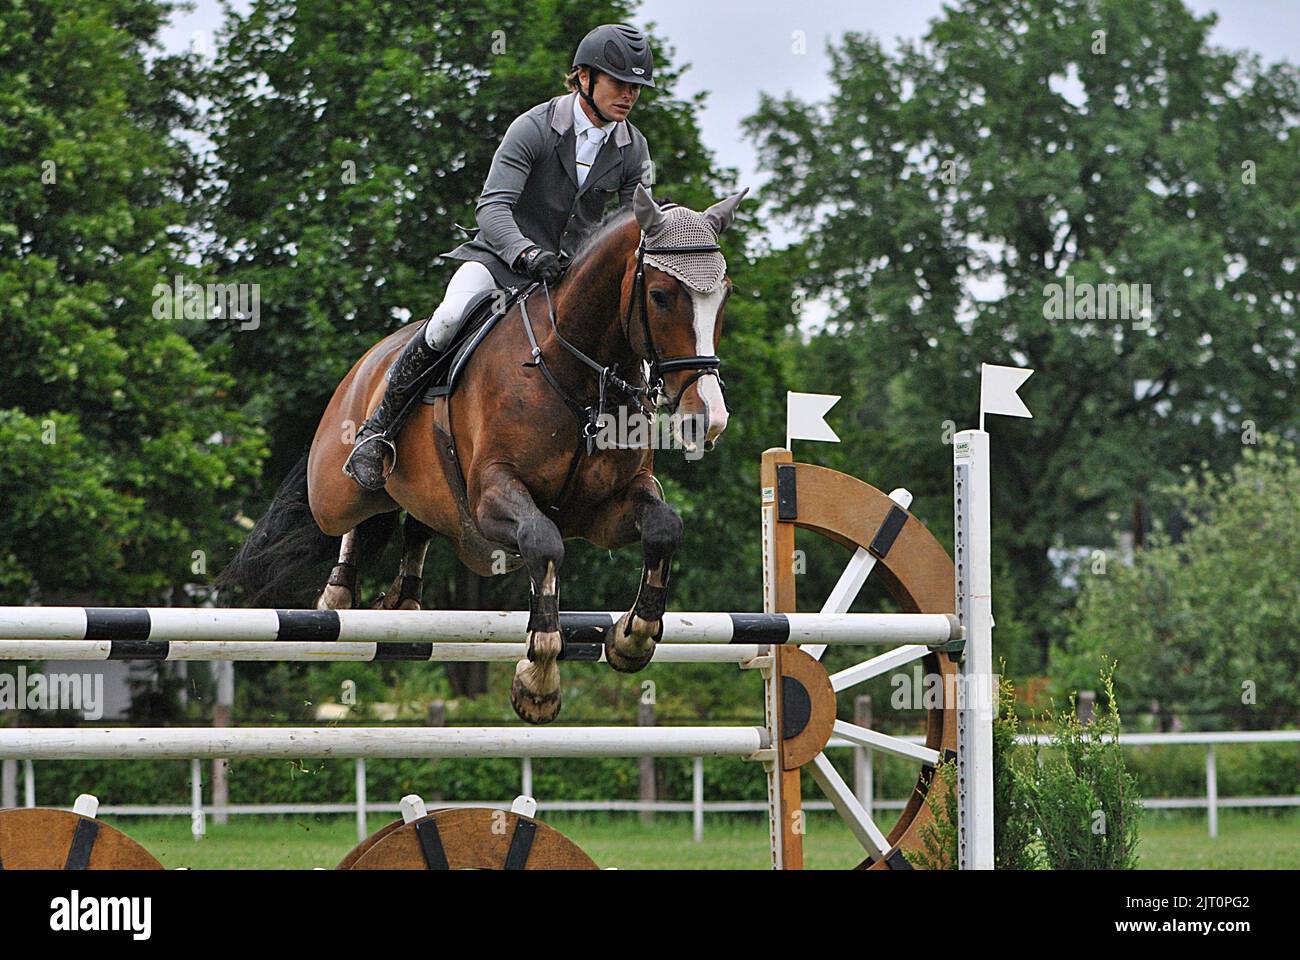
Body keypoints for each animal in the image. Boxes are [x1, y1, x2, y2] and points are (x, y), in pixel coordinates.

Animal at [219, 183, 748, 723]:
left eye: (725, 295)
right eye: (661, 296)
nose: (707, 418)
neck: (579, 376)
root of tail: (368, 361)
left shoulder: (605, 510)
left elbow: (663, 527)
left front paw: (631, 638)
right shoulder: (494, 494)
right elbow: (543, 542)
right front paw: (539, 682)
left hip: (440, 506)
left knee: (416, 524)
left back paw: (402, 599)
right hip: (336, 491)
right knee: (352, 512)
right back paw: (340, 585)